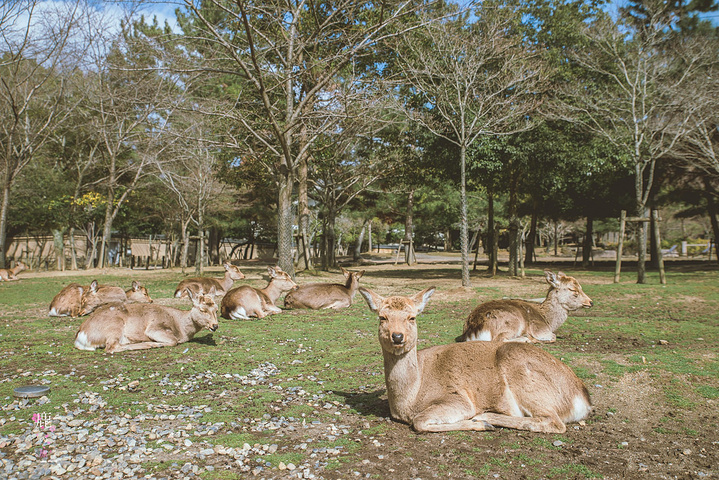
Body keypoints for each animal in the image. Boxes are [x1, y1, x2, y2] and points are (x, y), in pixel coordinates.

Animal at [75, 286, 219, 354]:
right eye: (202, 309)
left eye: (216, 309)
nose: (215, 326)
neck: (182, 329)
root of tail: (80, 336)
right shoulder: (154, 328)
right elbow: (173, 341)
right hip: (114, 325)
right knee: (111, 347)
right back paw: (152, 344)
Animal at [358, 286, 592, 434]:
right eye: (382, 317)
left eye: (412, 317)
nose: (397, 336)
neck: (407, 400)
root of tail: (583, 397)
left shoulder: (458, 399)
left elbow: (420, 421)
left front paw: (478, 423)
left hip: (524, 377)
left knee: (554, 423)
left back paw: (486, 418)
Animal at [458, 270, 592, 344]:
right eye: (573, 289)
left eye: (581, 287)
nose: (591, 302)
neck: (549, 321)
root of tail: (472, 330)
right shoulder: (539, 329)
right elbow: (553, 336)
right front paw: (532, 338)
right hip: (512, 322)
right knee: (498, 339)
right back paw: (527, 339)